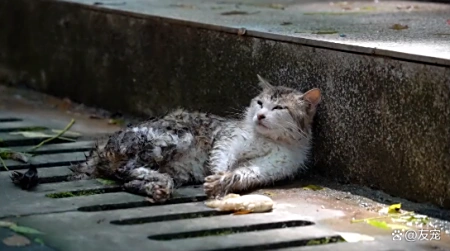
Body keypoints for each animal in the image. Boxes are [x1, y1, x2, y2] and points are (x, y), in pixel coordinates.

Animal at [68, 74, 322, 202]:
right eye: (259, 103)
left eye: (278, 107)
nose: (259, 115)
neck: (270, 139)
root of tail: (102, 148)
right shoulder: (228, 139)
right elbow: (221, 159)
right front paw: (217, 175)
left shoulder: (269, 166)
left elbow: (240, 174)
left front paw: (222, 181)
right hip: (175, 137)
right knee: (125, 170)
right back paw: (158, 182)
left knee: (126, 180)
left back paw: (154, 186)